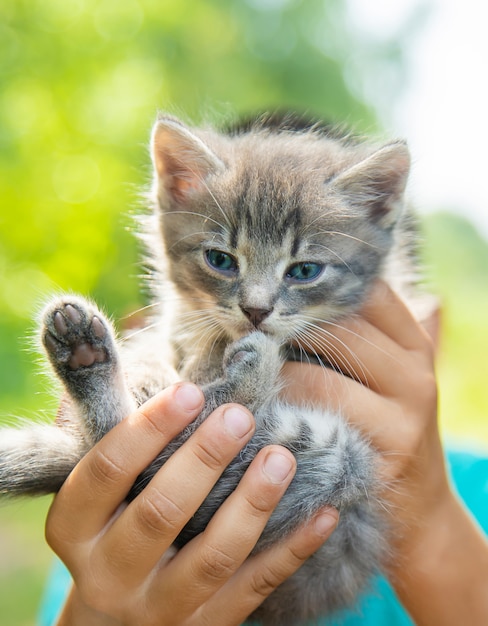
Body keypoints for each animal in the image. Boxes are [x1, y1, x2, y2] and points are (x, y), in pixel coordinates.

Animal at [0, 113, 420, 624]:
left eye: (304, 271)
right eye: (220, 260)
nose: (255, 310)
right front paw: (154, 367)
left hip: (339, 464)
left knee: (146, 446)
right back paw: (85, 352)